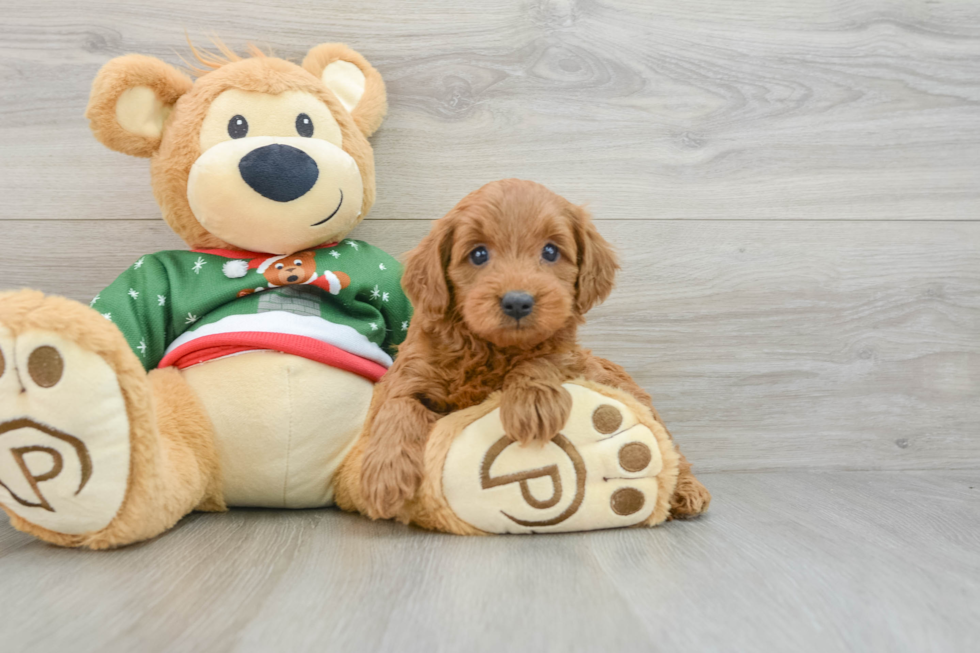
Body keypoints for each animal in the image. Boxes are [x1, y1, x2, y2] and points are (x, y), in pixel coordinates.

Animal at [356, 178, 708, 520]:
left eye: (550, 251)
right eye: (478, 254)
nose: (517, 302)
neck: (491, 350)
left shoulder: (567, 354)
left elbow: (544, 357)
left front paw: (531, 403)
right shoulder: (409, 372)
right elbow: (399, 407)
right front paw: (384, 475)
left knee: (670, 448)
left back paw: (688, 491)